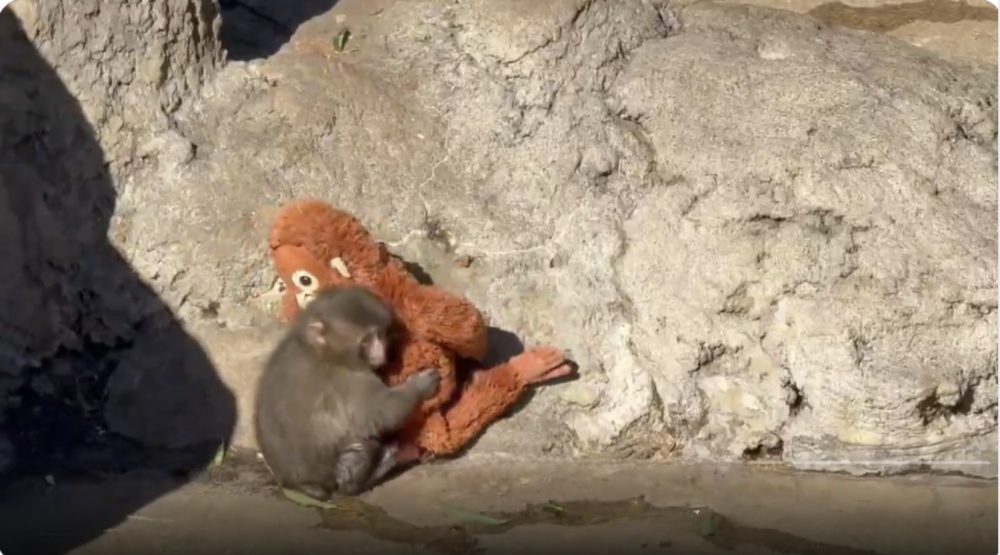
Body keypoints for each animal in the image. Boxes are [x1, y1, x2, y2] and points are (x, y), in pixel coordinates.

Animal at [254, 285, 441, 500]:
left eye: (381, 335)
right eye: (366, 340)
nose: (381, 354)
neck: (319, 350)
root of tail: (296, 485)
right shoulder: (349, 380)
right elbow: (383, 412)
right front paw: (420, 385)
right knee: (363, 446)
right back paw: (370, 474)